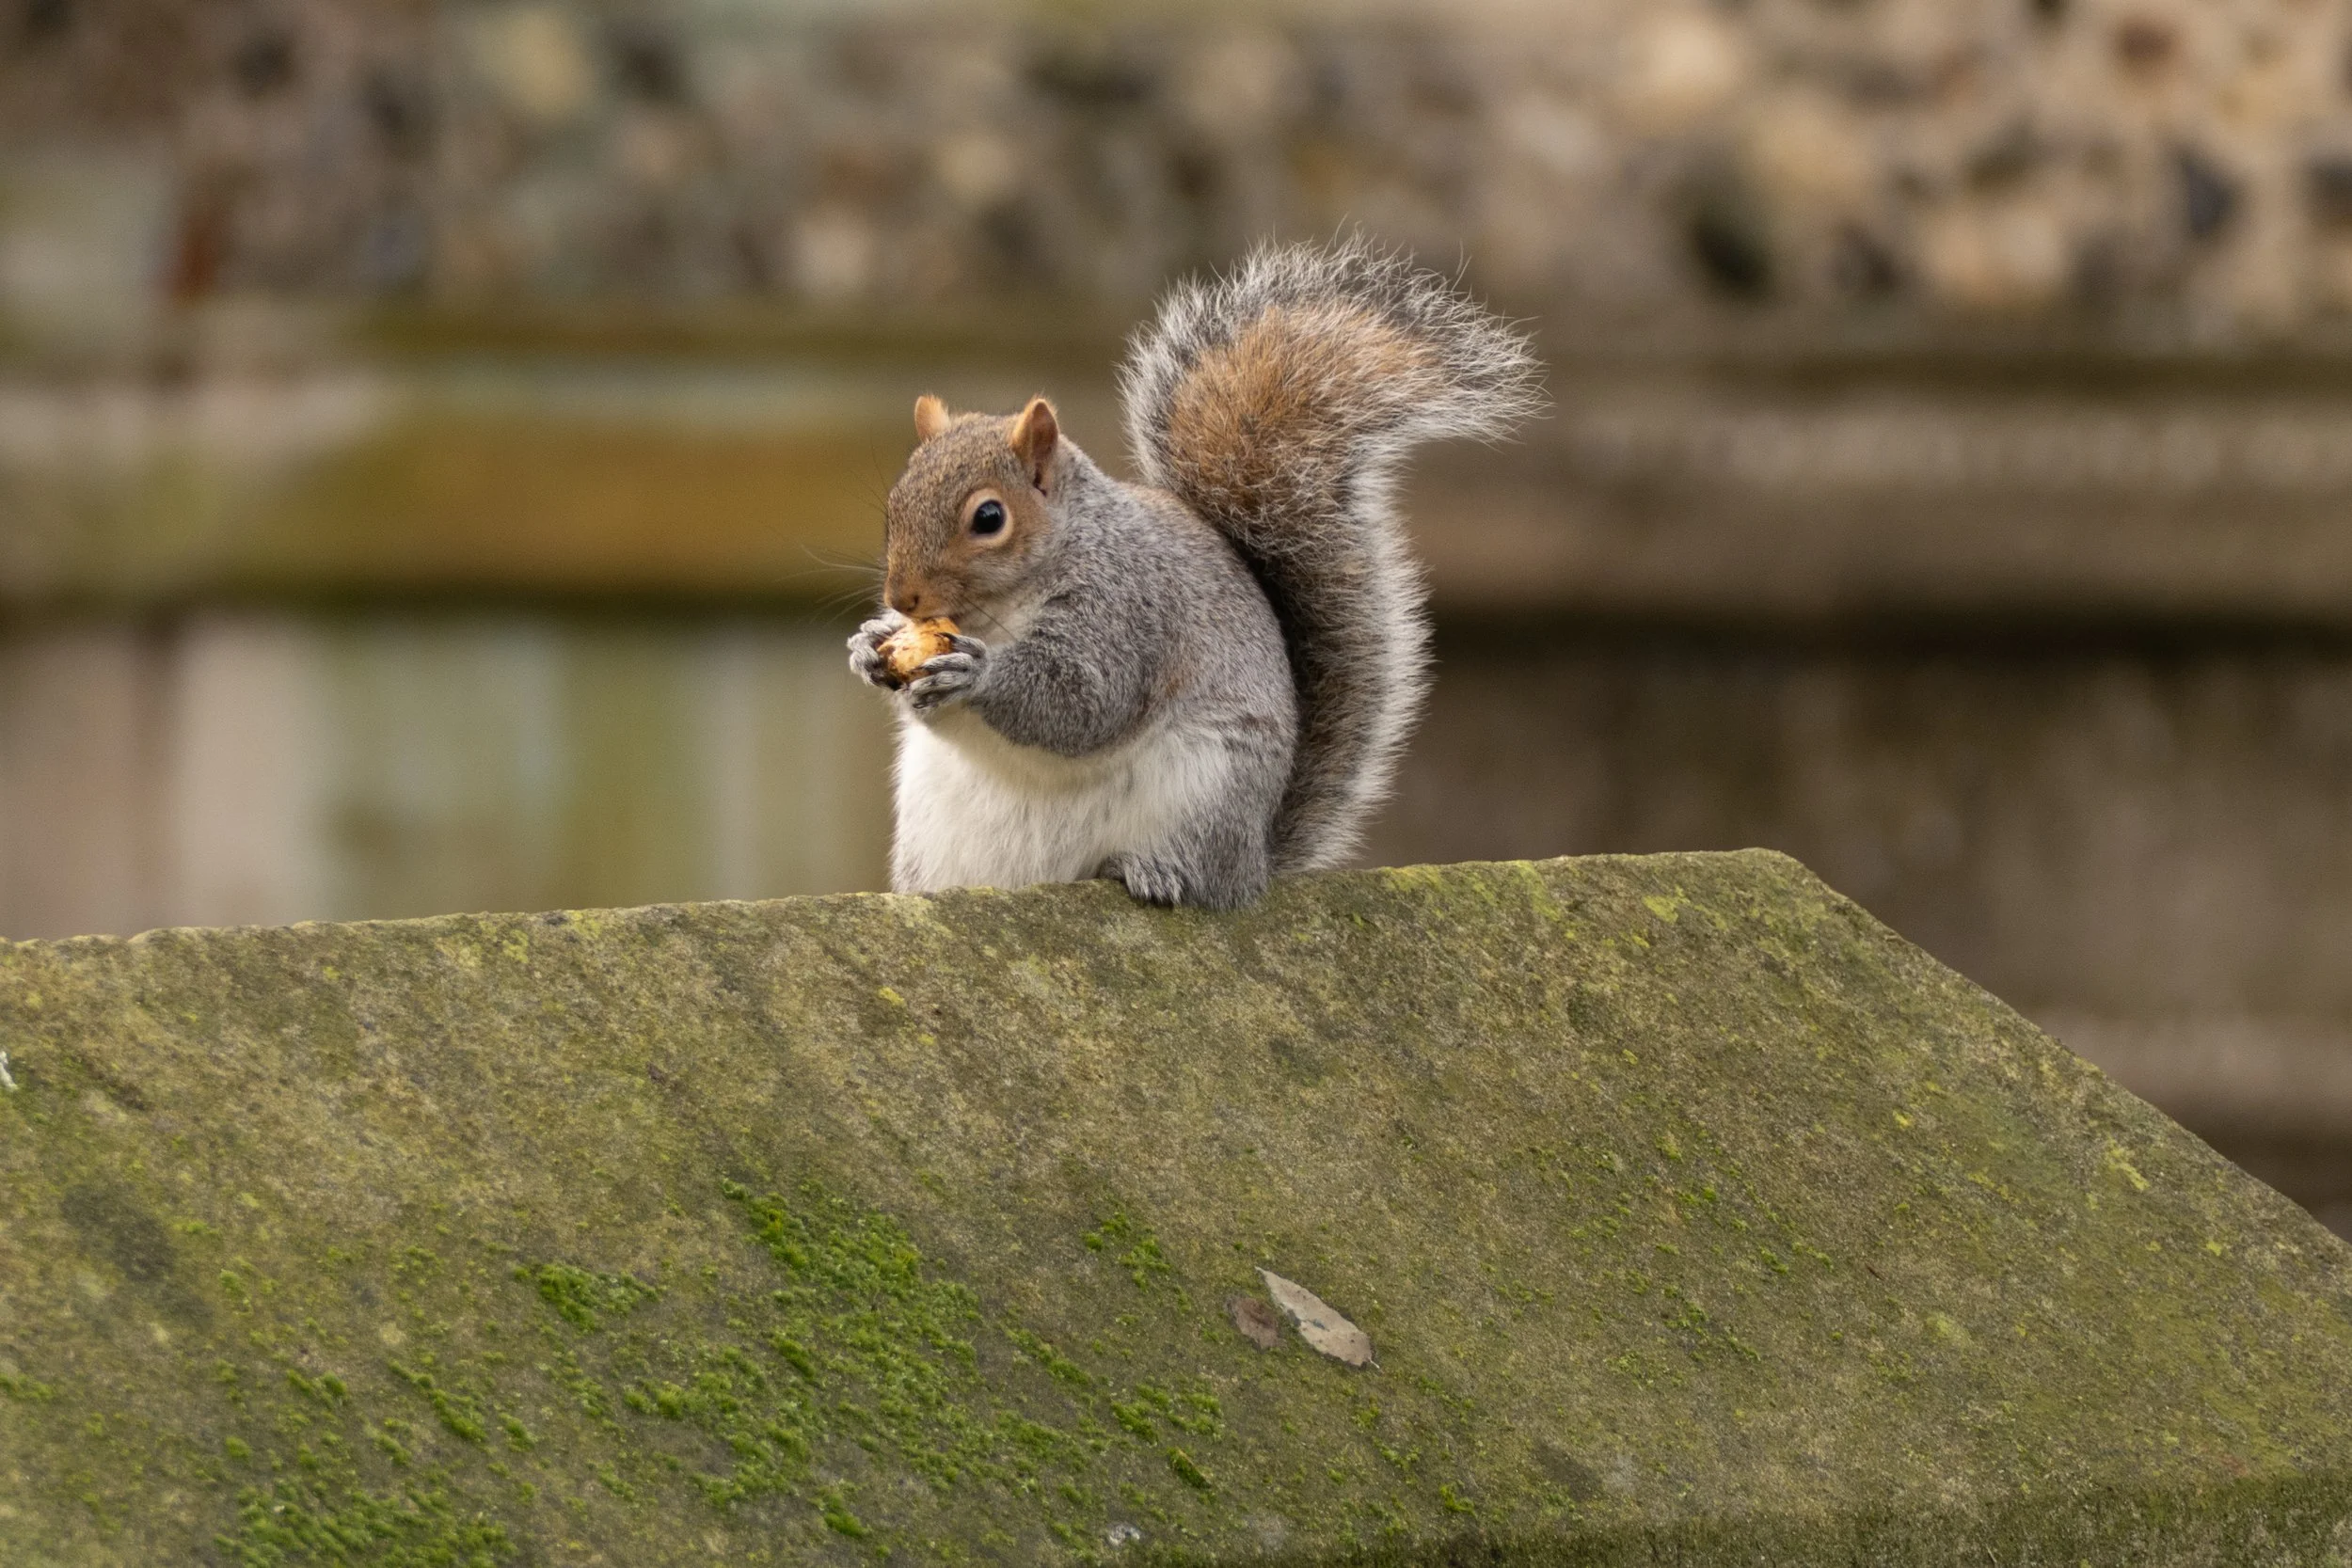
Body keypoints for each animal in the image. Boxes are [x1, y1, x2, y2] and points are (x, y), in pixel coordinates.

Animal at [848, 237, 1540, 909]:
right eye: (895, 500)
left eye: (989, 517)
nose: (902, 597)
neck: (999, 608)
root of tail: (1255, 859)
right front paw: (868, 644)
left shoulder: (1125, 607)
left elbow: (1086, 699)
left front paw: (978, 672)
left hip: (1205, 790)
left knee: (1198, 876)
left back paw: (1149, 870)